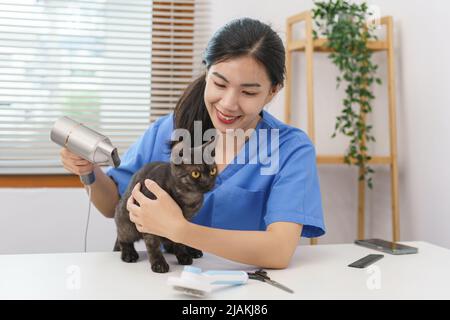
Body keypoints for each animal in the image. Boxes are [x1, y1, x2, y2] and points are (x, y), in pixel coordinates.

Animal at [113, 138, 217, 272]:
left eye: (213, 171)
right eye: (195, 174)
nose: (209, 183)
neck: (188, 198)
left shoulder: (181, 222)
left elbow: (180, 239)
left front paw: (183, 255)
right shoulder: (148, 219)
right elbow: (153, 244)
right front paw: (159, 263)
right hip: (127, 223)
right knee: (123, 238)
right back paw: (128, 253)